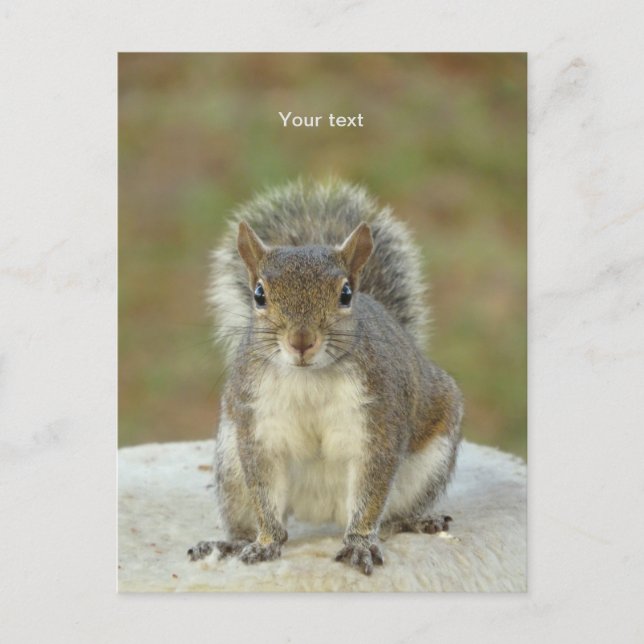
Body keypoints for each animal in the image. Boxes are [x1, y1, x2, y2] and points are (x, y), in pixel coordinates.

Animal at [188, 179, 463, 575]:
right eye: (259, 294)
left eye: (346, 294)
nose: (301, 341)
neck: (309, 378)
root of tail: (321, 514)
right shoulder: (257, 426)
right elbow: (265, 490)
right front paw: (266, 543)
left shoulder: (378, 422)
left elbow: (371, 490)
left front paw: (360, 545)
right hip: (231, 470)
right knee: (249, 515)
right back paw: (231, 543)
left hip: (429, 463)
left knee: (389, 516)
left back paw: (413, 521)